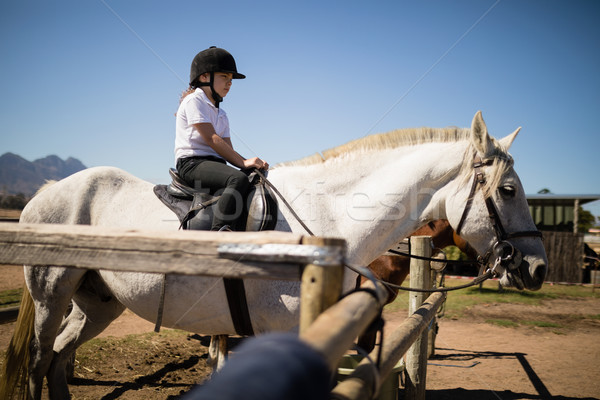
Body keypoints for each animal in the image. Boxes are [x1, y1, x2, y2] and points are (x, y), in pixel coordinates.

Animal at [0, 111, 548, 398]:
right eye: (508, 191)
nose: (537, 267)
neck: (329, 220)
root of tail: (49, 192)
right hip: (51, 296)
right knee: (39, 361)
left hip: (97, 303)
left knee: (58, 358)